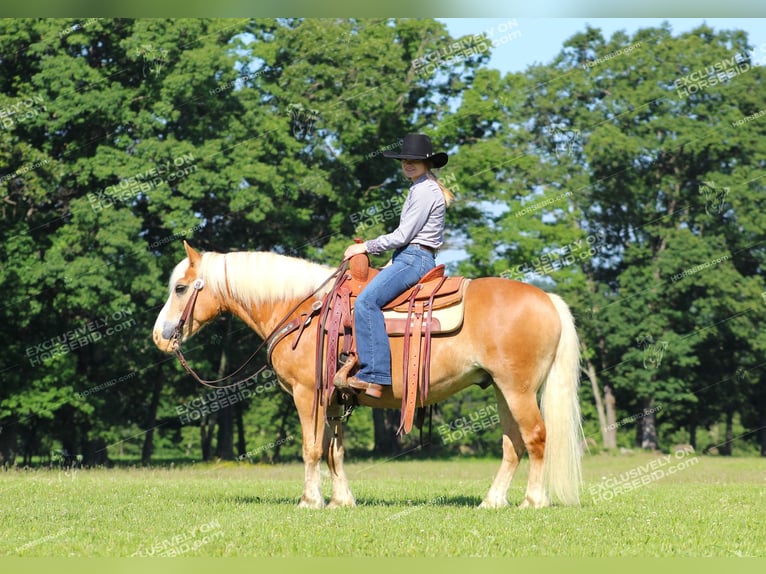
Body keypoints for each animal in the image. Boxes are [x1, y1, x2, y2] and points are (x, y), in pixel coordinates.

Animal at [153, 241, 584, 510]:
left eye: (180, 288)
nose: (160, 336)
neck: (302, 310)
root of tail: (547, 298)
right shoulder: (332, 399)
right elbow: (334, 450)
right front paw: (341, 500)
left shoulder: (307, 394)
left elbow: (312, 448)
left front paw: (309, 501)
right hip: (500, 389)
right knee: (513, 445)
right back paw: (492, 501)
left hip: (518, 389)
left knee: (536, 437)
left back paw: (533, 501)